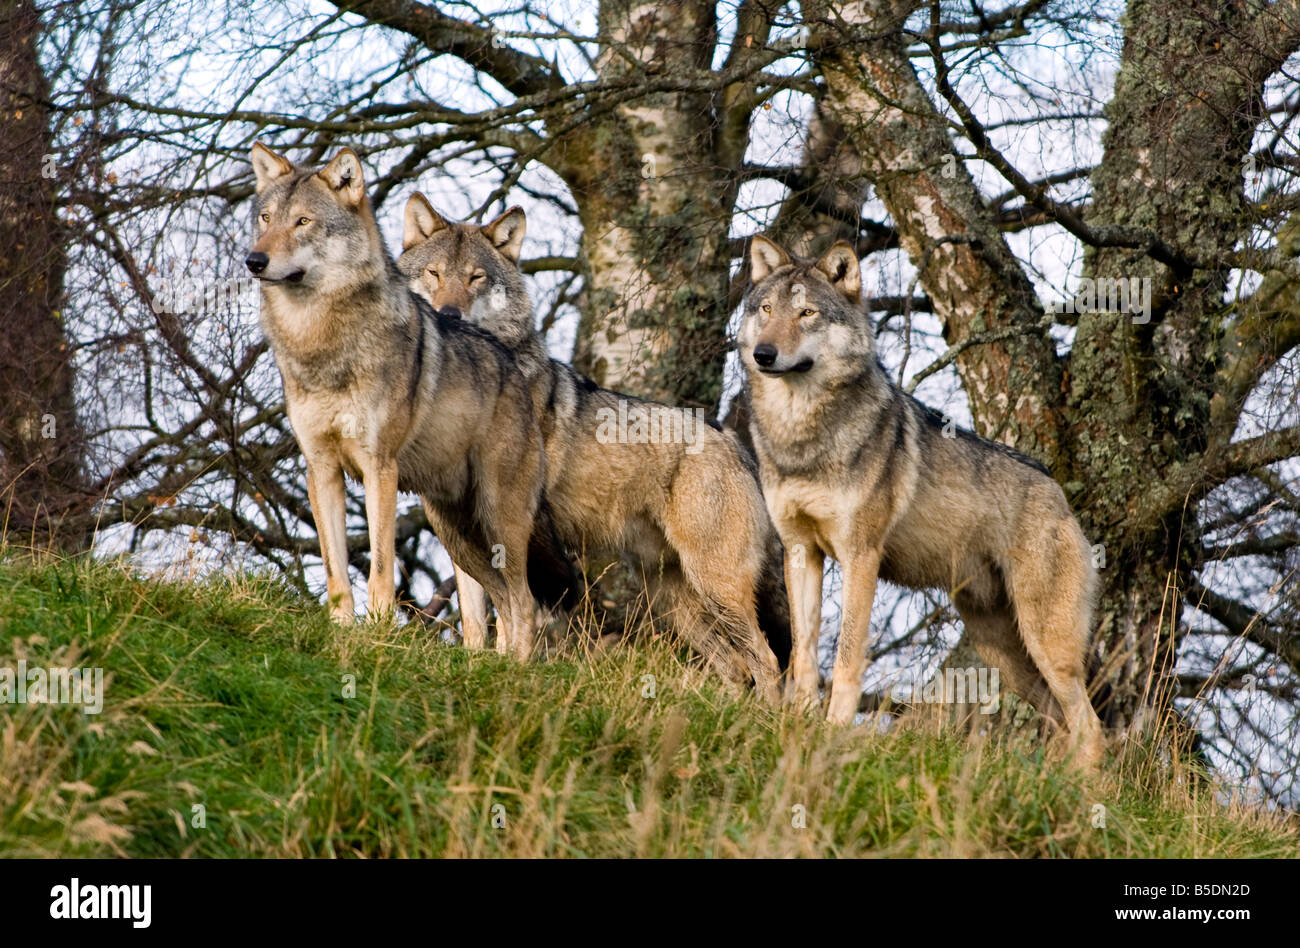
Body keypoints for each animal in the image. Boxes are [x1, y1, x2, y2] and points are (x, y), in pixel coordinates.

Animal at [241, 142, 577, 658]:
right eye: (265, 217)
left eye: (303, 221)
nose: (254, 260)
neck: (320, 342)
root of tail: (517, 367)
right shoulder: (321, 467)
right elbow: (336, 571)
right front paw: (340, 632)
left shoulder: (379, 466)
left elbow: (381, 569)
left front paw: (377, 636)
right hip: (457, 533)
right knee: (499, 602)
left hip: (498, 520)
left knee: (523, 604)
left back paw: (514, 670)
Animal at [395, 193, 785, 702]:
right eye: (434, 273)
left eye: (476, 278)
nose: (449, 314)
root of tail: (736, 444)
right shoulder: (461, 530)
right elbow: (477, 623)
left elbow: (512, 615)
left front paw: (510, 668)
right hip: (677, 600)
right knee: (737, 667)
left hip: (716, 585)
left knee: (767, 661)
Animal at [738, 232, 1102, 764]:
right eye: (766, 309)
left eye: (806, 313)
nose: (764, 353)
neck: (802, 436)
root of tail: (1057, 492)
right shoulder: (801, 550)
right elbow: (805, 653)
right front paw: (799, 725)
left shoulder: (861, 557)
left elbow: (846, 657)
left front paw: (832, 732)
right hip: (1003, 651)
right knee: (1062, 722)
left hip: (1047, 643)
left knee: (1091, 726)